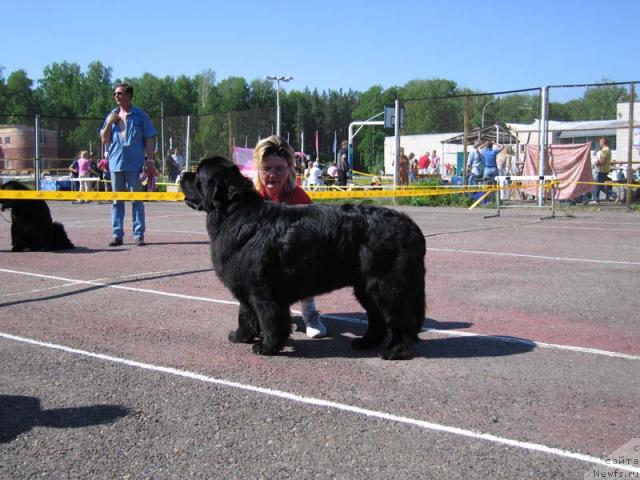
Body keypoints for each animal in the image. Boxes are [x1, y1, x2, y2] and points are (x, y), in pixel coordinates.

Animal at [180, 158, 428, 360]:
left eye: (199, 175)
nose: (183, 174)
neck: (234, 214)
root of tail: (412, 227)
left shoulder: (262, 290)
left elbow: (268, 318)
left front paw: (268, 346)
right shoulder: (245, 285)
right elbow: (245, 313)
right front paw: (241, 336)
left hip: (386, 285)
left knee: (399, 318)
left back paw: (395, 351)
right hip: (366, 287)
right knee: (377, 318)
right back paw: (365, 342)